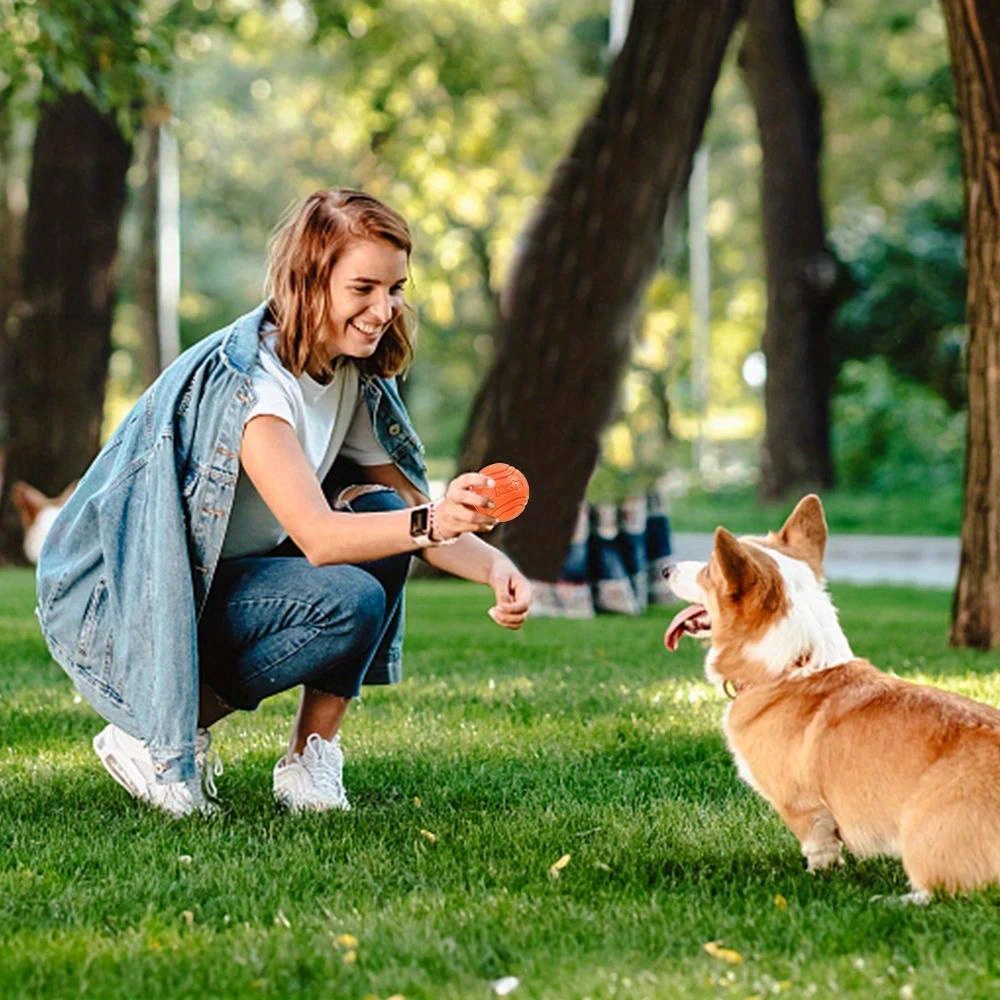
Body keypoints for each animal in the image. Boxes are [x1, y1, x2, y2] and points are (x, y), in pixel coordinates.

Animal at [664, 496, 1000, 904]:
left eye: (710, 570)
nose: (664, 568)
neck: (793, 667)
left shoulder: (803, 808)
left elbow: (818, 845)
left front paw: (818, 876)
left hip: (924, 835)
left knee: (939, 890)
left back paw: (893, 900)